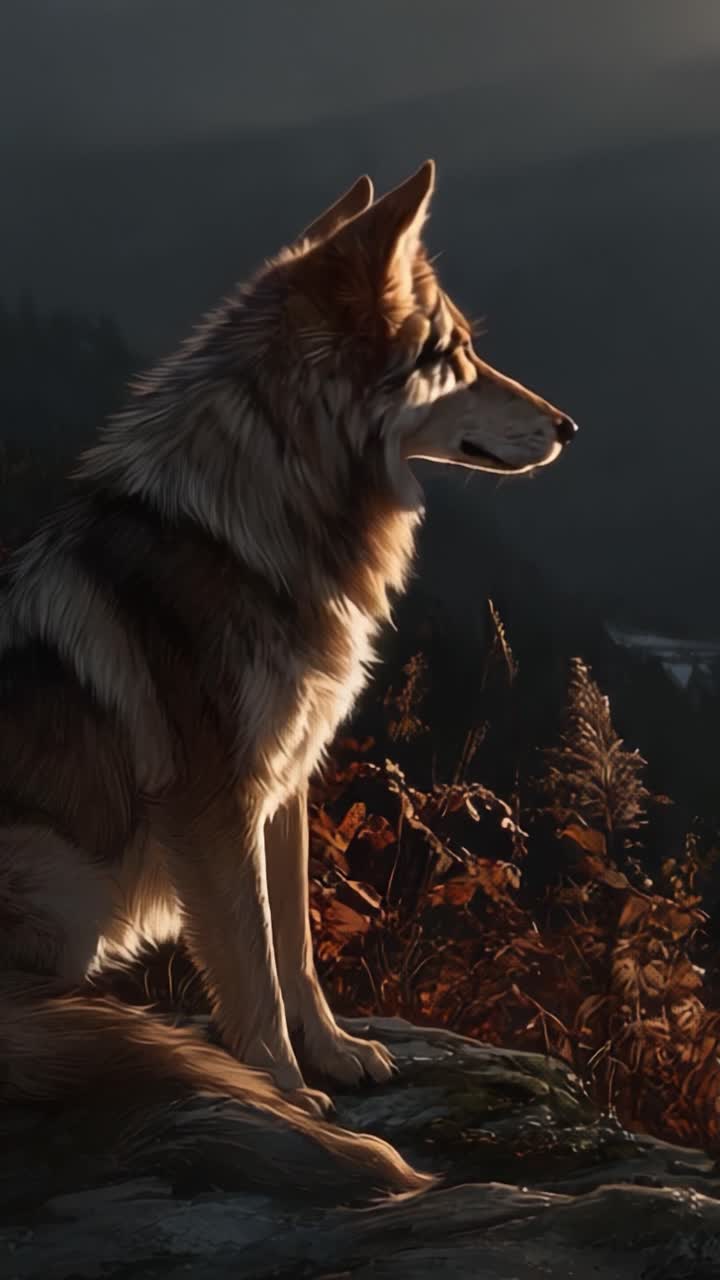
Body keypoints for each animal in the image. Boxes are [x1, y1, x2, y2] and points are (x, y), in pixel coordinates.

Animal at [0, 160, 575, 1196]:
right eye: (458, 355)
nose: (568, 425)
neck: (263, 526)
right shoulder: (212, 804)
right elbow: (251, 964)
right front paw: (278, 1087)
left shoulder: (287, 780)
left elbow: (296, 947)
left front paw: (338, 1055)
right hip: (59, 870)